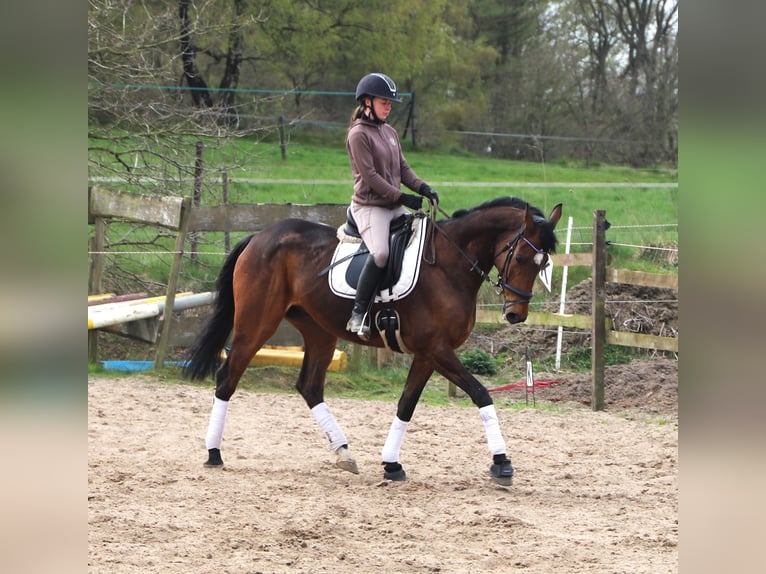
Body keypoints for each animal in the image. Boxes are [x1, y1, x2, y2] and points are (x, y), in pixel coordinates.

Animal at [183, 197, 562, 486]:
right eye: (523, 258)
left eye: (544, 263)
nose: (516, 314)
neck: (449, 265)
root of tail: (259, 236)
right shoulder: (437, 350)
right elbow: (481, 394)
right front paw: (502, 463)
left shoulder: (428, 354)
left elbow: (406, 405)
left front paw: (391, 465)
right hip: (257, 323)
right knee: (227, 377)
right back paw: (213, 453)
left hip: (319, 331)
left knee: (309, 386)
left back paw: (344, 453)